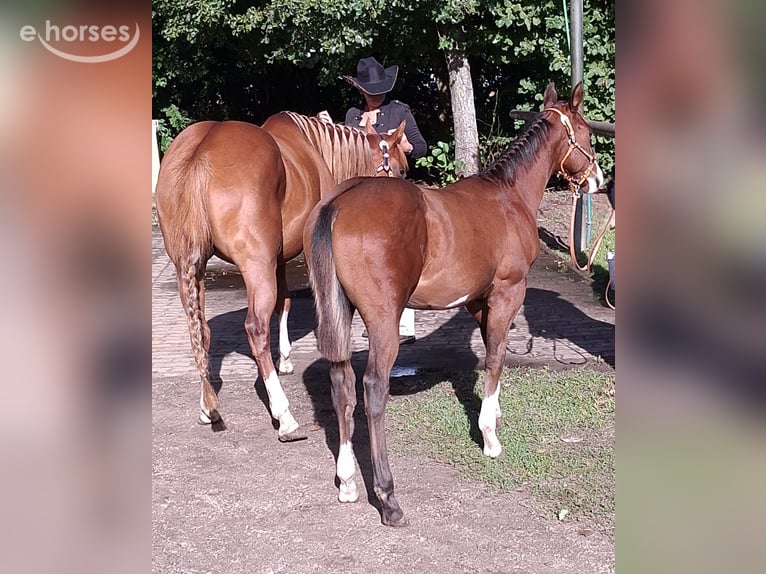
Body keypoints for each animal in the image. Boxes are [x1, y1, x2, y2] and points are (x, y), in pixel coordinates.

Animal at [156, 112, 407, 441]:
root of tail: (202, 150)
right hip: (255, 266)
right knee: (255, 329)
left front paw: (285, 358)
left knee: (200, 331)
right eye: (401, 169)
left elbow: (284, 302)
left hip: (189, 267)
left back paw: (207, 406)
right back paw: (284, 416)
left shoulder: (278, 259)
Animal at [304, 82, 604, 526]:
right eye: (584, 134)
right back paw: (388, 498)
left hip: (340, 312)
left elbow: (492, 356)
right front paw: (491, 439)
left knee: (341, 385)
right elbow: (495, 358)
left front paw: (493, 415)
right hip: (382, 320)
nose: (597, 180)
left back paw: (348, 484)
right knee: (372, 389)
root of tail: (338, 203)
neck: (508, 196)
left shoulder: (478, 301)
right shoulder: (507, 292)